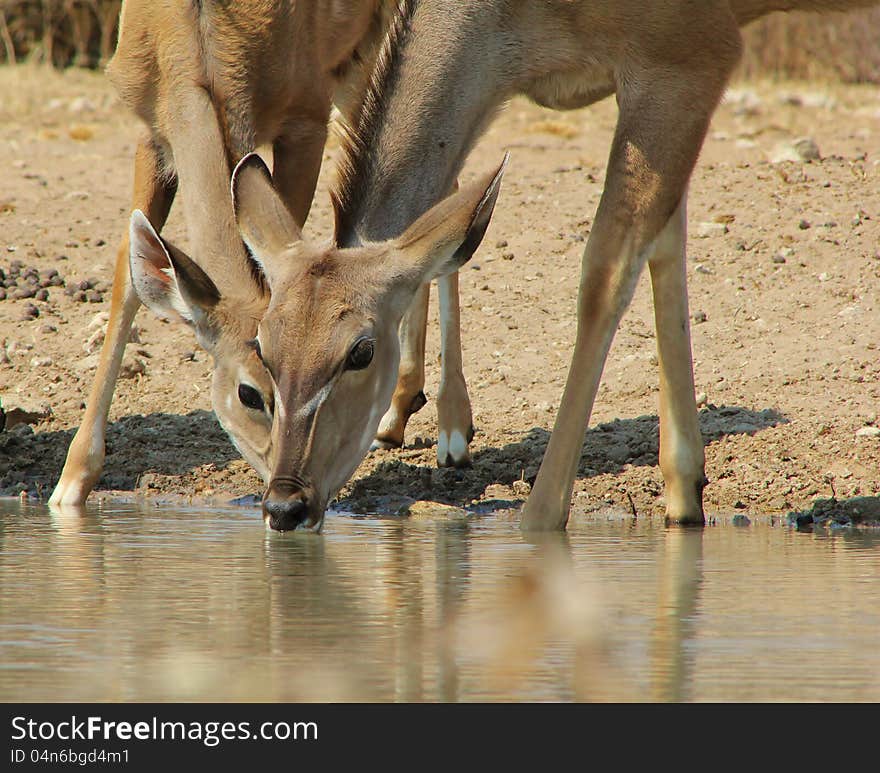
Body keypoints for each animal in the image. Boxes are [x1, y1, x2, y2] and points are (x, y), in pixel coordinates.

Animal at [332, 0, 880, 532]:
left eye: (361, 351)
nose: (305, 500)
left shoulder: (685, 65)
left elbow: (606, 274)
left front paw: (539, 516)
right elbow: (663, 247)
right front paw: (684, 490)